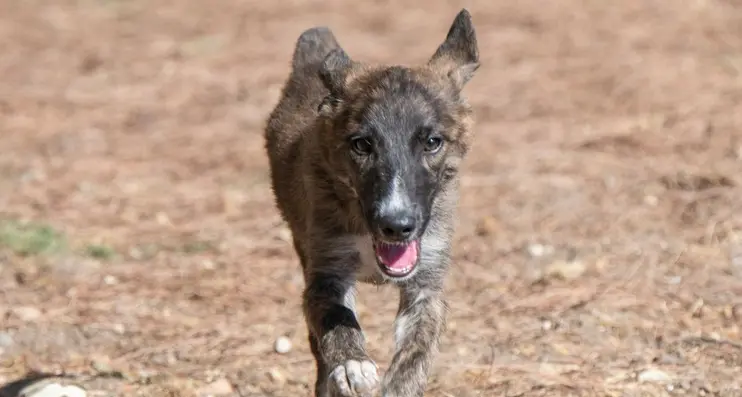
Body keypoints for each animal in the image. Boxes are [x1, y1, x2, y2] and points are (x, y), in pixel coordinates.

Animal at [264, 9, 480, 396]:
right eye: (362, 144)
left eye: (432, 142)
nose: (396, 226)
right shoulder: (326, 271)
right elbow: (336, 321)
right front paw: (352, 365)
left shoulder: (427, 283)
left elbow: (417, 350)